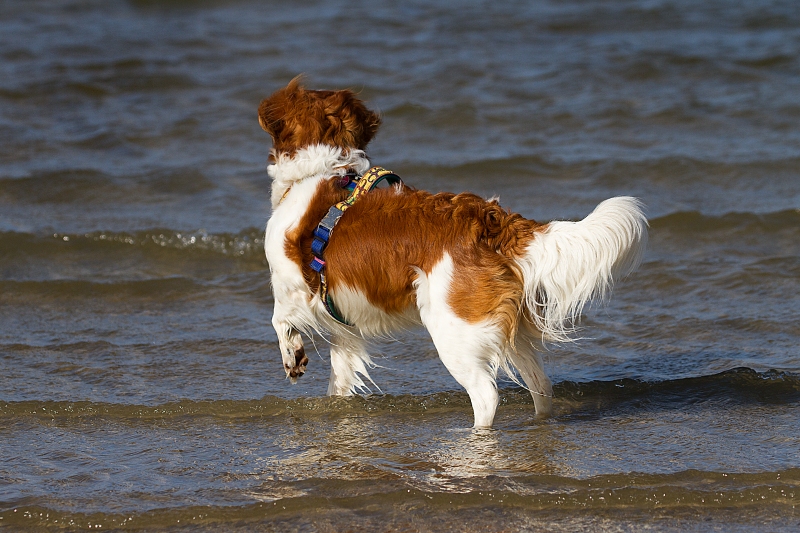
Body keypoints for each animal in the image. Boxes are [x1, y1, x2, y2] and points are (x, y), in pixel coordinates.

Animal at [260, 78, 648, 428]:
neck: (324, 169)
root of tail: (491, 222)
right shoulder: (342, 323)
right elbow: (340, 373)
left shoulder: (295, 285)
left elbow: (279, 318)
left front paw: (292, 356)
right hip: (509, 331)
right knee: (542, 386)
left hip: (452, 329)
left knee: (487, 395)